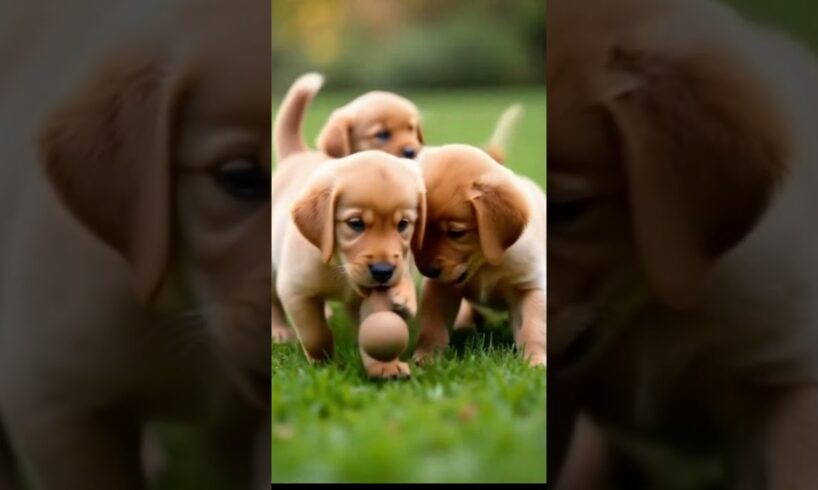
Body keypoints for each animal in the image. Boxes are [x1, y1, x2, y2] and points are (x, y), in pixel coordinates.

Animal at [274, 73, 428, 378]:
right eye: (355, 224)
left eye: (403, 224)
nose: (383, 271)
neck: (340, 267)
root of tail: (296, 155)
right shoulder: (295, 289)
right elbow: (315, 333)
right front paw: (322, 364)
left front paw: (385, 366)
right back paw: (279, 331)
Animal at [412, 145, 544, 368]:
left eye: (456, 233)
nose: (427, 271)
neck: (486, 265)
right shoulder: (440, 288)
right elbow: (432, 325)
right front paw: (427, 357)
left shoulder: (529, 286)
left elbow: (534, 328)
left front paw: (535, 362)